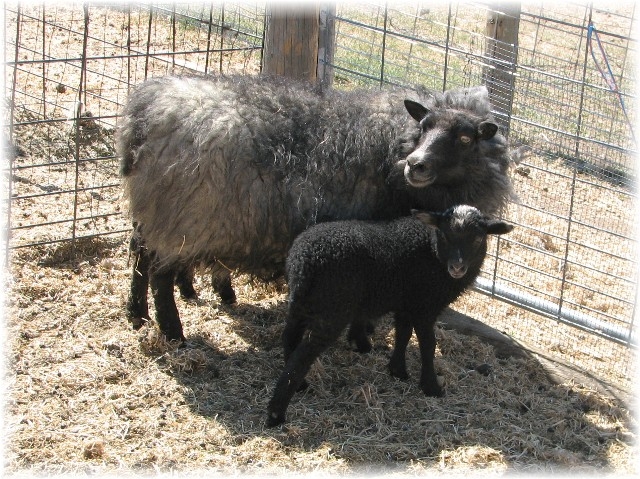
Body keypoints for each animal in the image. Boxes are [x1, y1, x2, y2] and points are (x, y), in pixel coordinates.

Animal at [116, 74, 516, 342]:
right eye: (424, 125)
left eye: (465, 138)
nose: (416, 165)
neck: (392, 148)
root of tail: (146, 112)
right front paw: (360, 337)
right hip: (182, 218)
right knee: (159, 273)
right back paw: (173, 332)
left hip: (158, 213)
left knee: (139, 252)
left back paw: (137, 314)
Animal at [264, 206, 516, 428]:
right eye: (444, 234)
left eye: (478, 239)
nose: (457, 267)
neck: (433, 253)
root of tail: (304, 261)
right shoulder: (424, 306)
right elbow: (428, 345)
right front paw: (431, 386)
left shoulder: (406, 304)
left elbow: (402, 334)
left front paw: (398, 370)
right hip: (332, 310)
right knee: (302, 356)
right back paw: (276, 413)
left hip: (301, 302)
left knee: (289, 338)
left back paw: (300, 386)